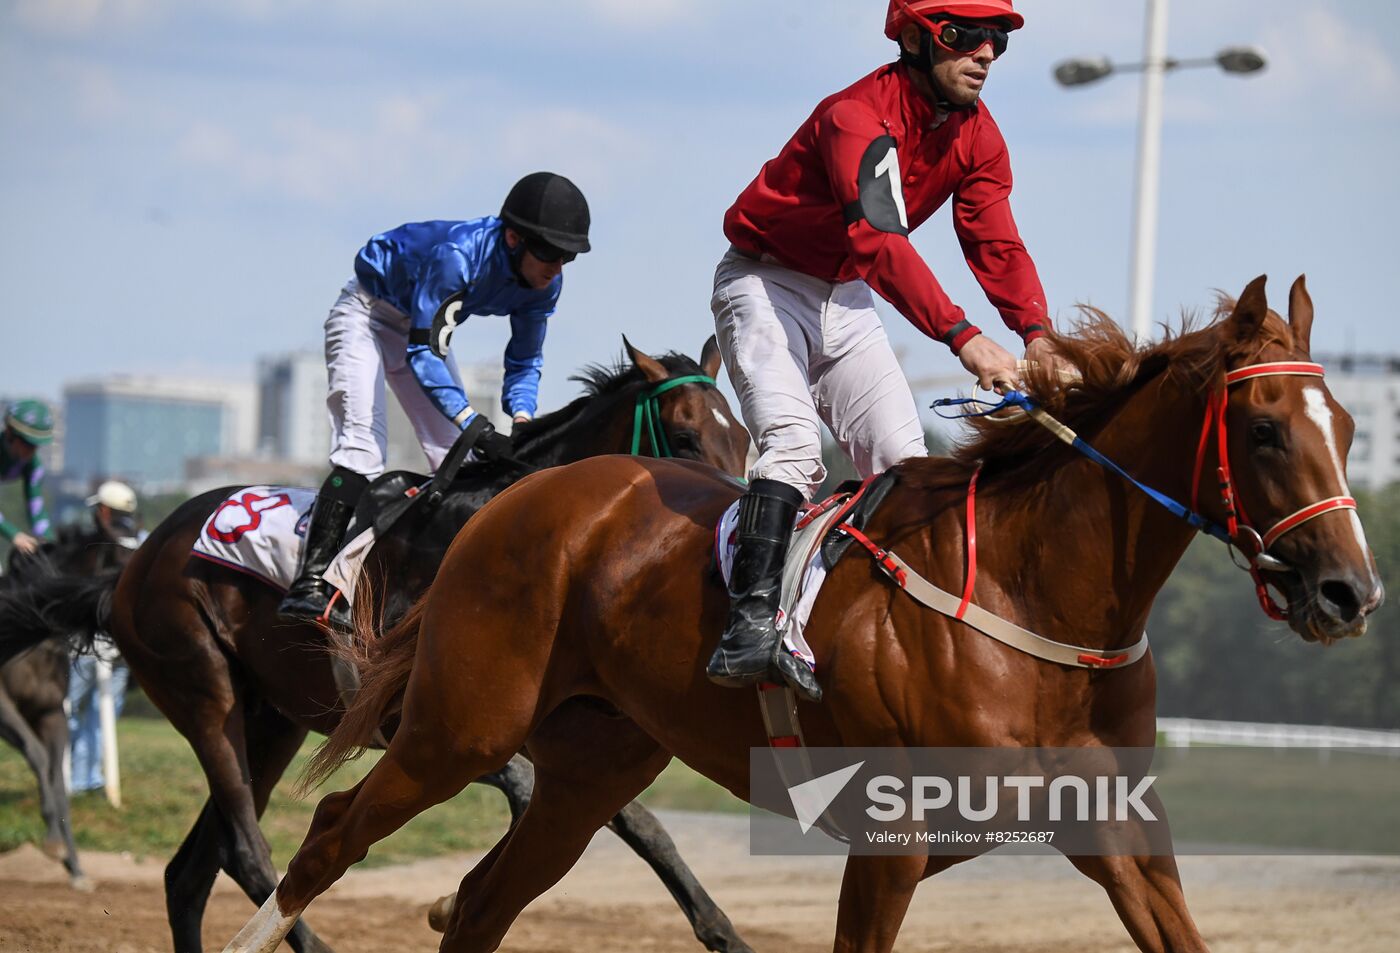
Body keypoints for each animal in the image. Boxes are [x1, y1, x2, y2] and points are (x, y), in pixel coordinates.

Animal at [0, 517, 136, 890]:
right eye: (121, 554)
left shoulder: (51, 714)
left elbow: (57, 776)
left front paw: (73, 864)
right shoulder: (4, 708)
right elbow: (38, 755)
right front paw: (53, 842)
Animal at [235, 277, 1383, 951]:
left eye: (1346, 424)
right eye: (1266, 428)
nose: (1349, 590)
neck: (1036, 596)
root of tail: (519, 497)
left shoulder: (1117, 833)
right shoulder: (892, 844)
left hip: (592, 764)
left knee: (483, 899)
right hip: (462, 723)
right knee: (330, 836)